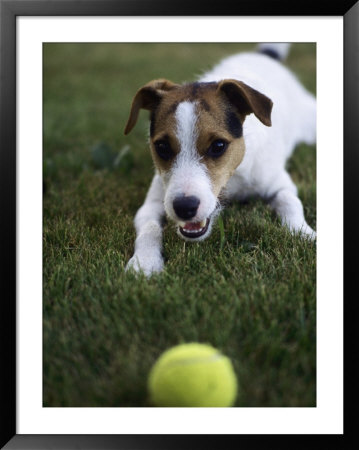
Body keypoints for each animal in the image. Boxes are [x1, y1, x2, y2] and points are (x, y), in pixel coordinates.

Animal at [125, 44, 316, 278]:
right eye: (162, 147)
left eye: (218, 146)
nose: (184, 208)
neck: (232, 180)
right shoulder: (152, 204)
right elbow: (149, 227)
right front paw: (144, 261)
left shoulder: (279, 183)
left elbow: (290, 201)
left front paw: (303, 233)